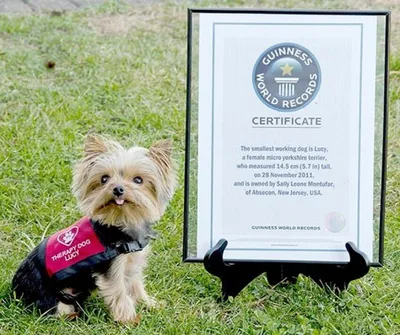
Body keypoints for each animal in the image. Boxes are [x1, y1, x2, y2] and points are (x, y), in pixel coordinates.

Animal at [12, 135, 175, 326]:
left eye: (138, 180)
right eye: (104, 179)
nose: (118, 189)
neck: (122, 222)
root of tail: (15, 288)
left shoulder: (132, 263)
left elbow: (136, 286)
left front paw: (150, 304)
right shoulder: (112, 268)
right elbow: (119, 292)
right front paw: (128, 319)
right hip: (53, 297)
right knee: (56, 310)